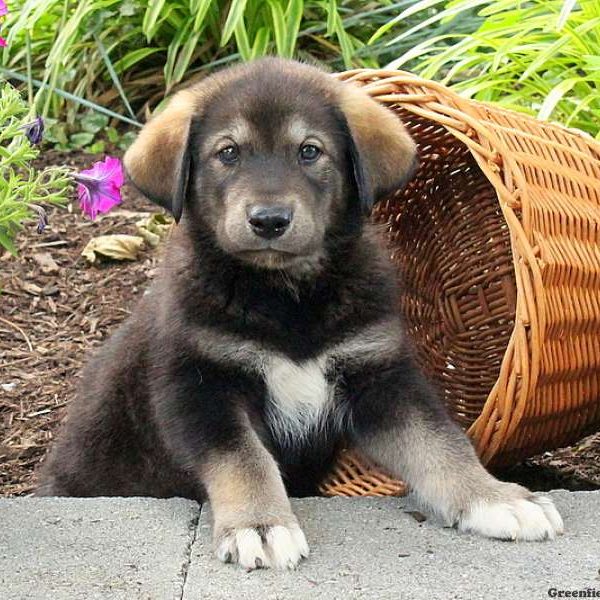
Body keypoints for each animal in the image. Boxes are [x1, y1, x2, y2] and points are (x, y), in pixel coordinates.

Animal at [36, 58, 564, 568]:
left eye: (309, 151)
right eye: (228, 153)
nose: (269, 220)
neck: (287, 296)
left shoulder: (380, 375)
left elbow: (440, 442)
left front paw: (496, 498)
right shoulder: (198, 385)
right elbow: (244, 458)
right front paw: (261, 526)